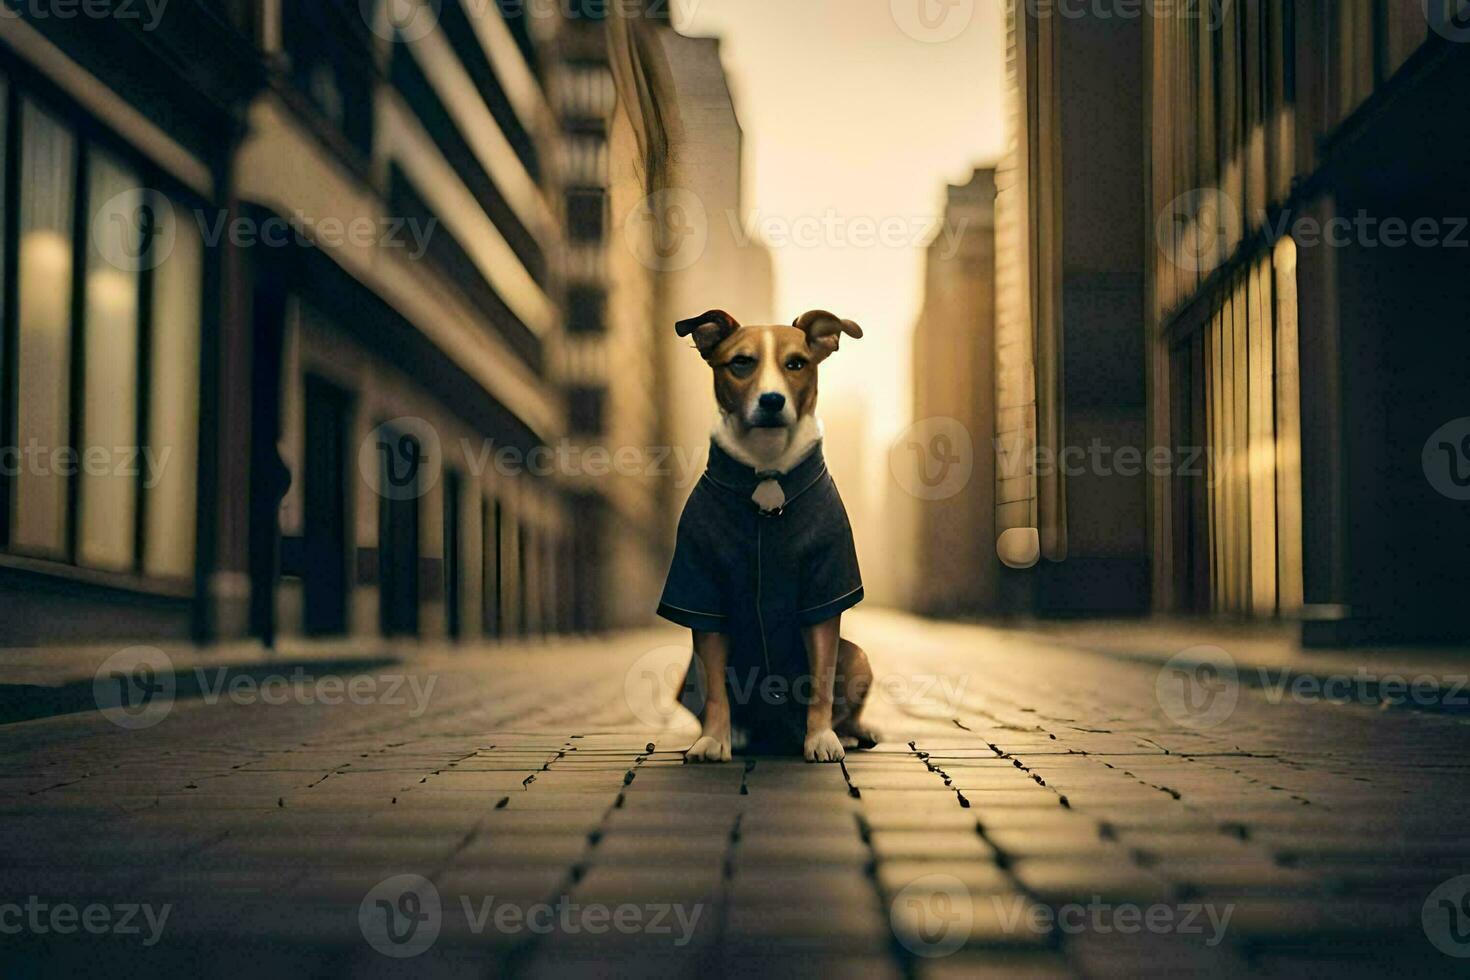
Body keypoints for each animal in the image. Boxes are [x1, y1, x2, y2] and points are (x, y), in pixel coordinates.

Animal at [661, 310, 876, 764]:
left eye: (796, 363)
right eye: (741, 363)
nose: (772, 400)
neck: (767, 470)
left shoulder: (825, 587)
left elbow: (821, 678)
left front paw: (822, 738)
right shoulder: (702, 587)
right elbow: (717, 687)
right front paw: (714, 739)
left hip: (859, 656)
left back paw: (850, 733)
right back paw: (740, 733)